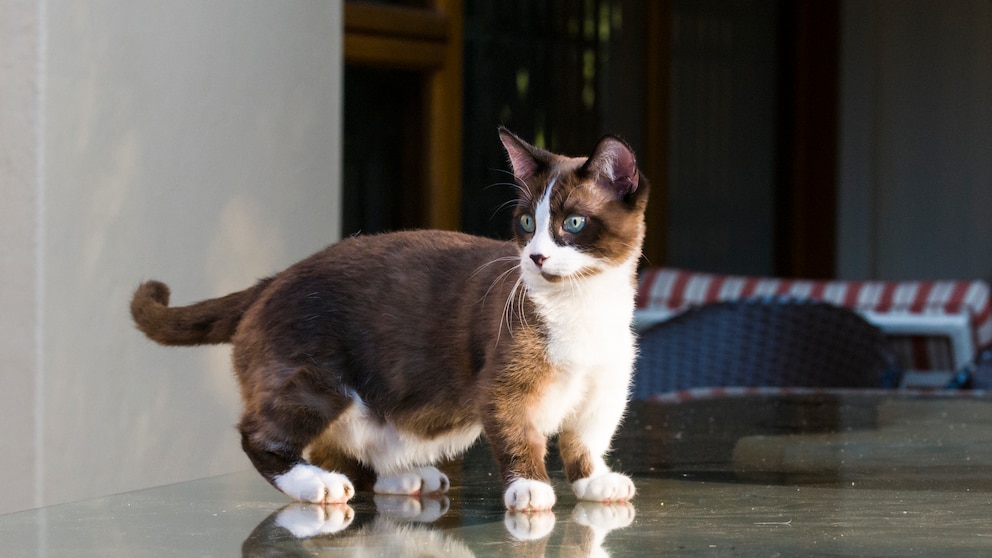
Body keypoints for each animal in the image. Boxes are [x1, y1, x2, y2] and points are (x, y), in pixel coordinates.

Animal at [128, 129, 648, 516]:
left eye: (573, 223)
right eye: (526, 224)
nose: (536, 256)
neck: (581, 304)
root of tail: (274, 278)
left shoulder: (606, 387)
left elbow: (587, 438)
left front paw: (595, 481)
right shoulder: (504, 383)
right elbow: (516, 431)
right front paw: (529, 488)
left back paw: (403, 476)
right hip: (315, 376)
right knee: (262, 434)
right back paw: (316, 484)